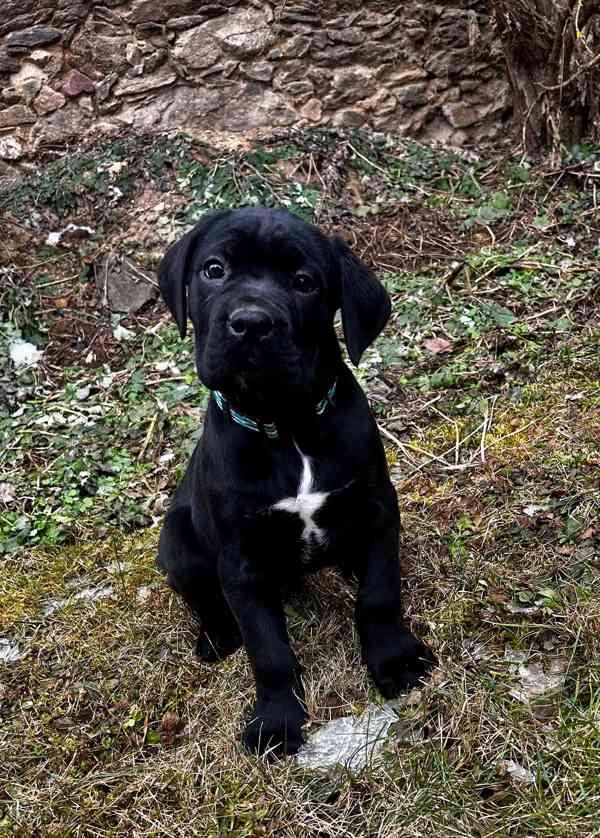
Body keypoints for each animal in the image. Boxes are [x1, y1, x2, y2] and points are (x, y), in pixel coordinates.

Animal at [157, 207, 434, 756]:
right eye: (214, 270)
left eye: (304, 283)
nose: (250, 324)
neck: (287, 425)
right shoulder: (241, 562)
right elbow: (268, 650)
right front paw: (277, 721)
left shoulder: (376, 511)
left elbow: (379, 595)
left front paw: (395, 660)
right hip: (176, 542)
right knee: (203, 597)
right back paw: (216, 637)